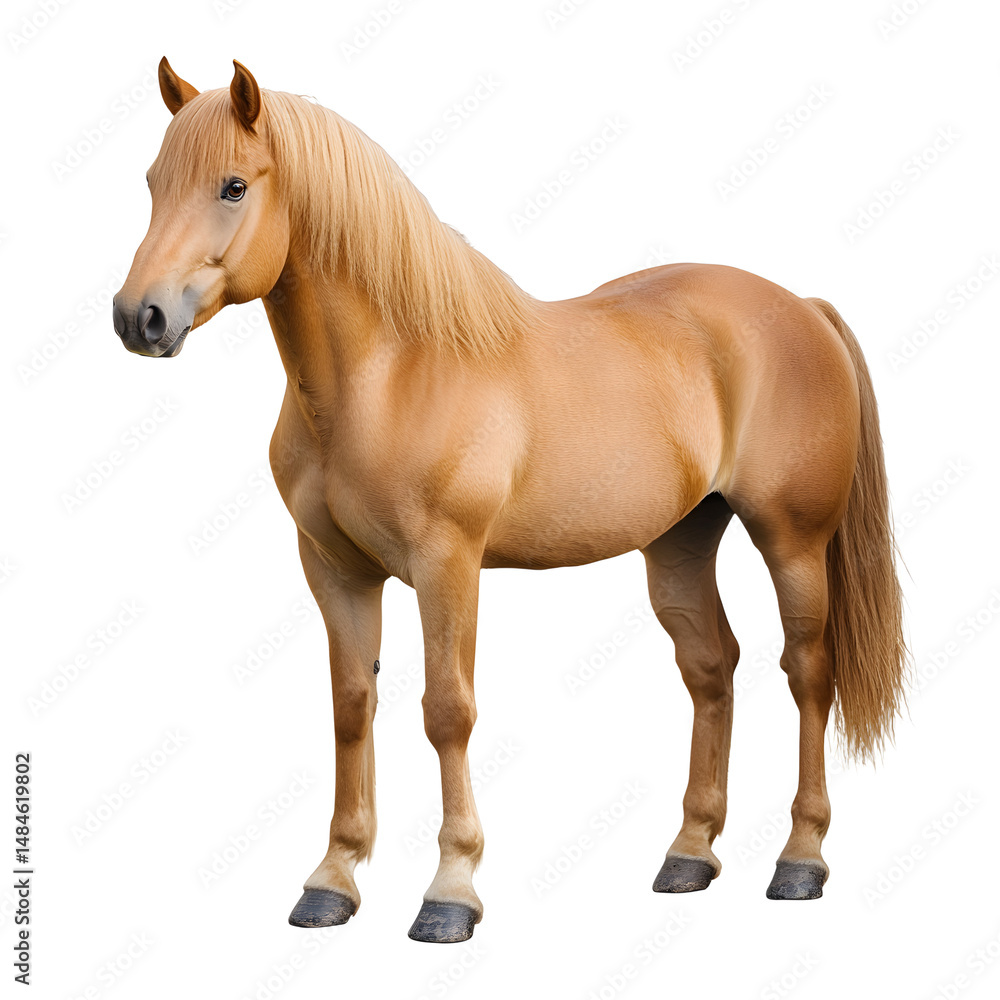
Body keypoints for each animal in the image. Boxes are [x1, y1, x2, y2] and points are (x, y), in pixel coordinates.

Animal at [112, 58, 907, 943]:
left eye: (233, 186)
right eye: (153, 182)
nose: (139, 318)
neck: (389, 373)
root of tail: (803, 307)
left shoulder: (447, 564)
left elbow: (446, 711)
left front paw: (450, 891)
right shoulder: (334, 570)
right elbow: (352, 707)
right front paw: (332, 880)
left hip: (792, 540)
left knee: (808, 672)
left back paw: (800, 859)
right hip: (679, 542)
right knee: (712, 669)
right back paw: (689, 854)